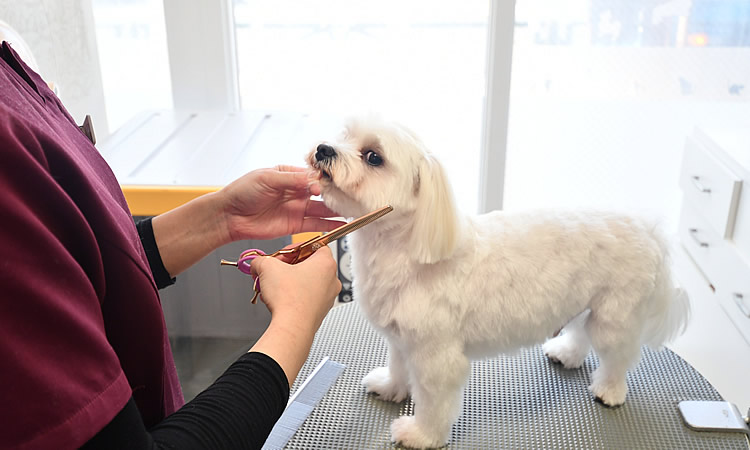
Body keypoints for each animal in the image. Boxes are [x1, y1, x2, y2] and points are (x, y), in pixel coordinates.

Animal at [306, 115, 692, 446]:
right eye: (343, 136)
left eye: (374, 157)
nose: (323, 148)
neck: (406, 246)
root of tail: (647, 228)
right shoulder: (403, 337)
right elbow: (399, 366)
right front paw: (391, 387)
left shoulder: (436, 354)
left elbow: (433, 400)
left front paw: (422, 435)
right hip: (585, 299)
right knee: (581, 330)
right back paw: (566, 353)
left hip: (616, 313)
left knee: (618, 354)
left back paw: (610, 390)